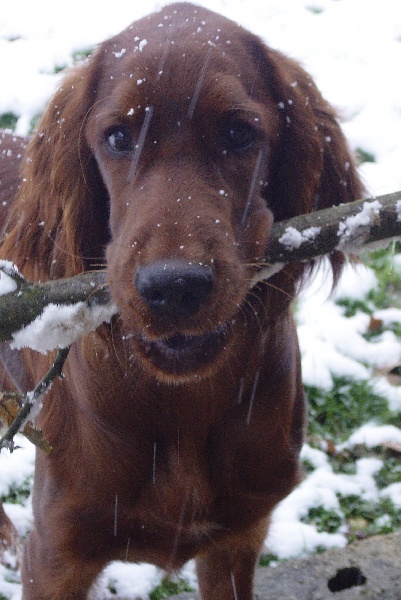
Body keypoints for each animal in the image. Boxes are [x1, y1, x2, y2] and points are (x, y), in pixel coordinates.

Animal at [0, 2, 362, 596]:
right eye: (118, 137)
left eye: (238, 132)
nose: (173, 287)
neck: (182, 402)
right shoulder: (54, 556)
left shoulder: (236, 541)